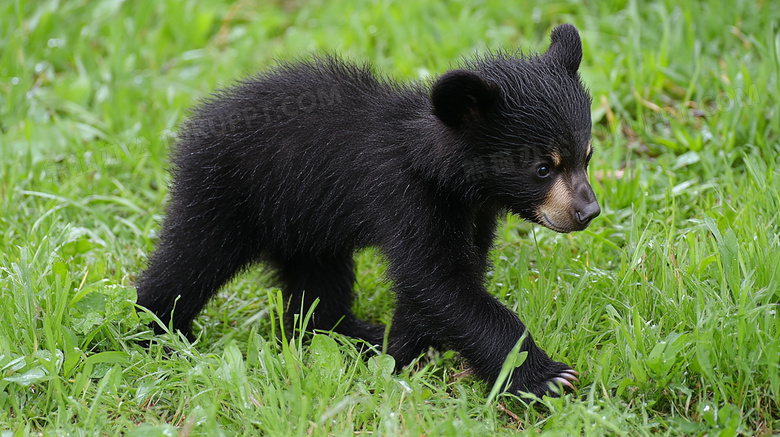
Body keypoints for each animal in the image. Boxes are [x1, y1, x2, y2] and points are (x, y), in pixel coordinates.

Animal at [136, 24, 596, 398]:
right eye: (543, 168)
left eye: (586, 156)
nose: (588, 211)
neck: (446, 176)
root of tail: (195, 123)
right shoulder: (404, 197)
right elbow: (438, 282)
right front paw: (548, 376)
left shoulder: (473, 213)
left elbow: (438, 287)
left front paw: (398, 353)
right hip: (227, 194)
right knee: (190, 260)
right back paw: (154, 330)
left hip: (301, 222)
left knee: (318, 281)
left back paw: (350, 333)